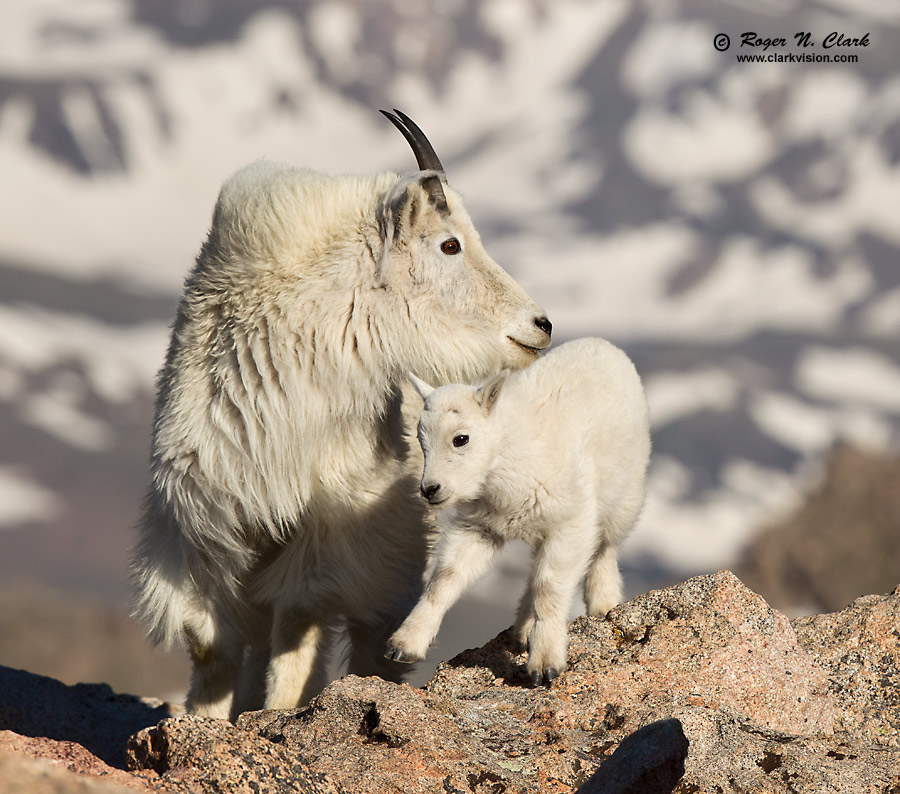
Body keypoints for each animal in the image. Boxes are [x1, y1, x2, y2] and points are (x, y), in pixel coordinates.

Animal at [130, 108, 552, 716]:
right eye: (450, 245)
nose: (540, 326)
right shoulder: (199, 529)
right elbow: (212, 648)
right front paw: (205, 722)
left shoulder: (327, 544)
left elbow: (295, 640)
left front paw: (276, 716)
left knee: (366, 645)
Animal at [386, 338, 648, 684]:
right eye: (420, 439)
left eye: (461, 438)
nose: (430, 490)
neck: (504, 460)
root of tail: (605, 345)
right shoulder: (480, 527)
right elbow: (446, 578)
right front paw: (404, 645)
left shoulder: (569, 522)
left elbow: (550, 587)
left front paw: (546, 665)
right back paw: (522, 630)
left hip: (625, 494)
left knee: (605, 547)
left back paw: (603, 604)